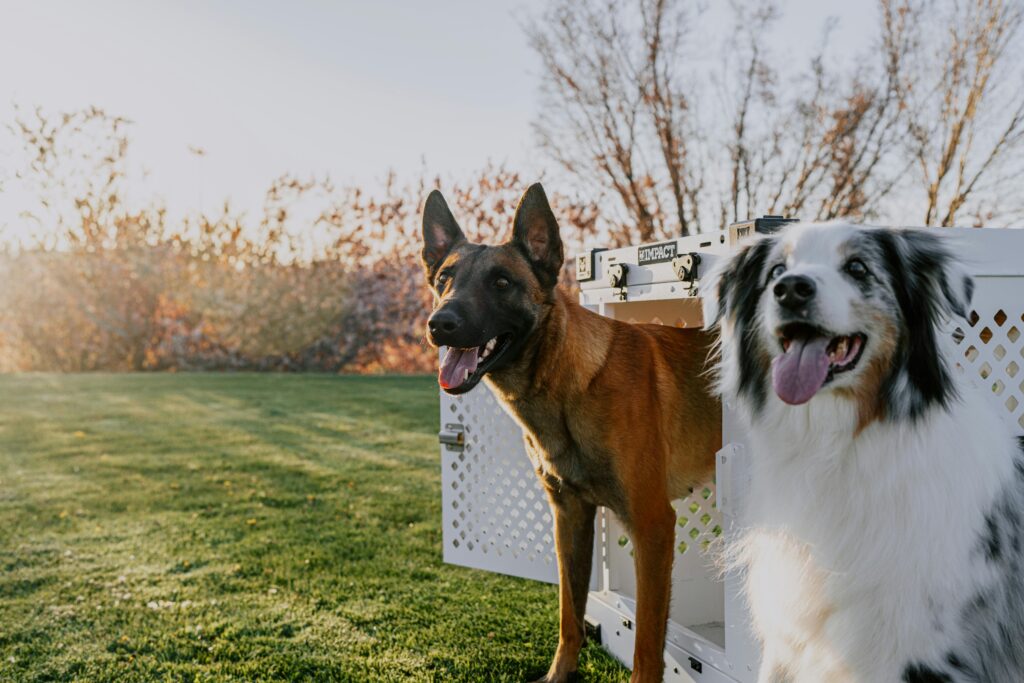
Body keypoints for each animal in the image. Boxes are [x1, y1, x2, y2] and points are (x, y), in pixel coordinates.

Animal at [419, 183, 716, 683]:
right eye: (444, 279)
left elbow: (646, 645)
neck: (567, 383)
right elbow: (569, 614)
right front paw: (560, 674)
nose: (440, 324)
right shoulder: (570, 517)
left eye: (502, 282)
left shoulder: (653, 526)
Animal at [700, 222, 1024, 679]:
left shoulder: (913, 652)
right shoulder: (787, 637)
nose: (791, 289)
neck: (833, 448)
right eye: (777, 270)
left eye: (857, 268)